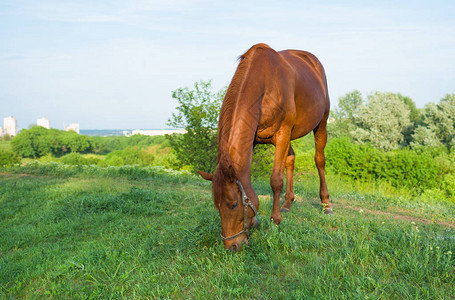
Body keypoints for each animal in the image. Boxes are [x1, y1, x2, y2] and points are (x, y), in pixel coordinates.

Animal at [198, 43, 334, 252]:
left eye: (233, 204)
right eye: (216, 206)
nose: (232, 246)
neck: (264, 83)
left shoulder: (283, 133)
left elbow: (276, 180)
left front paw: (275, 219)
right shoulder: (254, 139)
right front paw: (257, 220)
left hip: (321, 124)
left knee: (319, 160)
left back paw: (326, 205)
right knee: (290, 159)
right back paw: (287, 203)